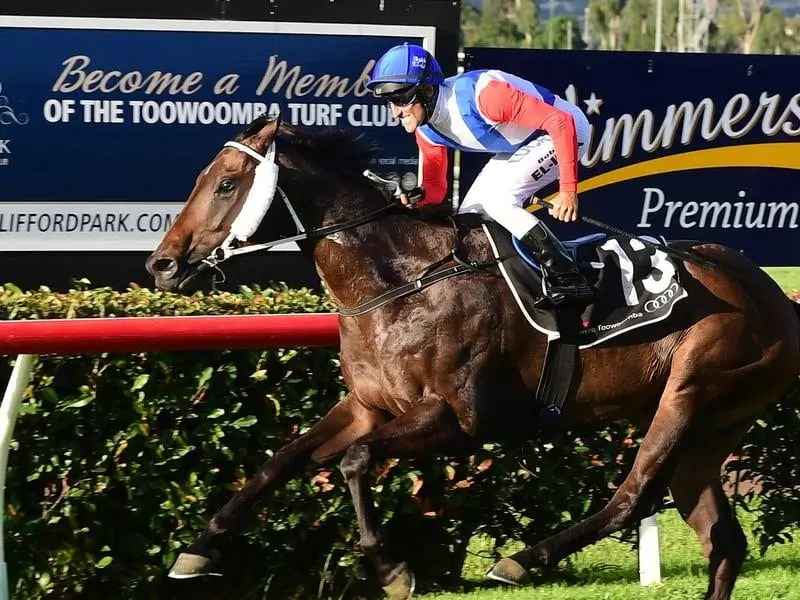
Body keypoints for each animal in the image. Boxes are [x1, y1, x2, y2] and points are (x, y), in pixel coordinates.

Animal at [145, 113, 800, 600]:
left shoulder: (458, 419)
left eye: (227, 183)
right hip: (709, 428)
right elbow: (278, 462)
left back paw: (519, 560)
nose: (163, 264)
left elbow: (356, 461)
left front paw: (392, 570)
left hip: (691, 391)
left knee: (633, 497)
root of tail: (773, 294)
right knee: (721, 538)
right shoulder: (366, 406)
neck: (401, 283)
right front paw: (196, 550)